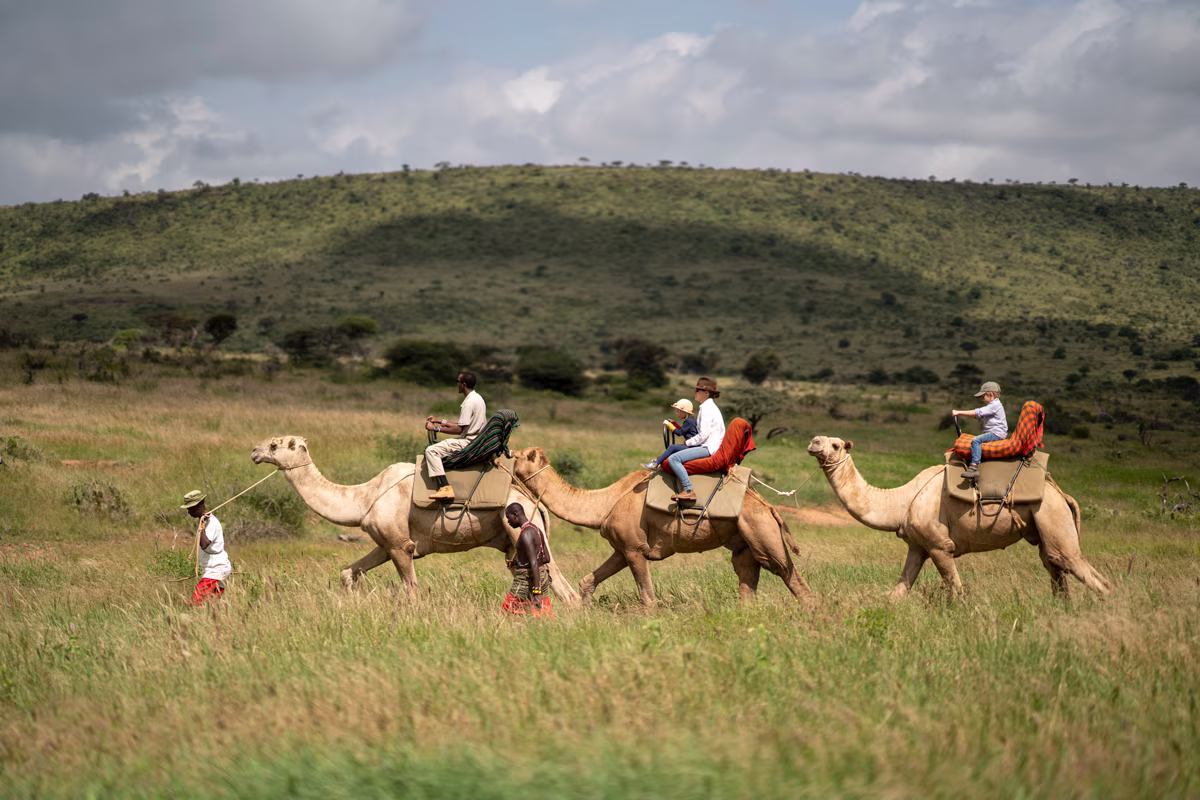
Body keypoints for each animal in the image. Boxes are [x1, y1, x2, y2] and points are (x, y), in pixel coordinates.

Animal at [250, 436, 580, 606]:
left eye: (276, 444)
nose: (253, 450)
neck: (365, 496)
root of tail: (535, 502)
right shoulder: (385, 542)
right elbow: (347, 572)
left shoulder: (401, 545)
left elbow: (412, 590)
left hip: (524, 528)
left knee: (563, 587)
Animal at [510, 447, 813, 607]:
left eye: (522, 455)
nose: (508, 451)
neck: (606, 501)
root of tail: (768, 506)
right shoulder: (622, 549)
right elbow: (588, 581)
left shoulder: (634, 549)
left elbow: (648, 597)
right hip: (744, 543)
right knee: (747, 579)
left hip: (762, 530)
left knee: (789, 574)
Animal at [806, 435, 1112, 599]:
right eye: (820, 440)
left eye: (836, 445)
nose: (813, 442)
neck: (901, 501)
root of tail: (1063, 495)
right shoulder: (918, 546)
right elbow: (899, 592)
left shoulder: (940, 545)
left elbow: (957, 591)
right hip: (1044, 524)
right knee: (1056, 566)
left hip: (1050, 513)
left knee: (1077, 566)